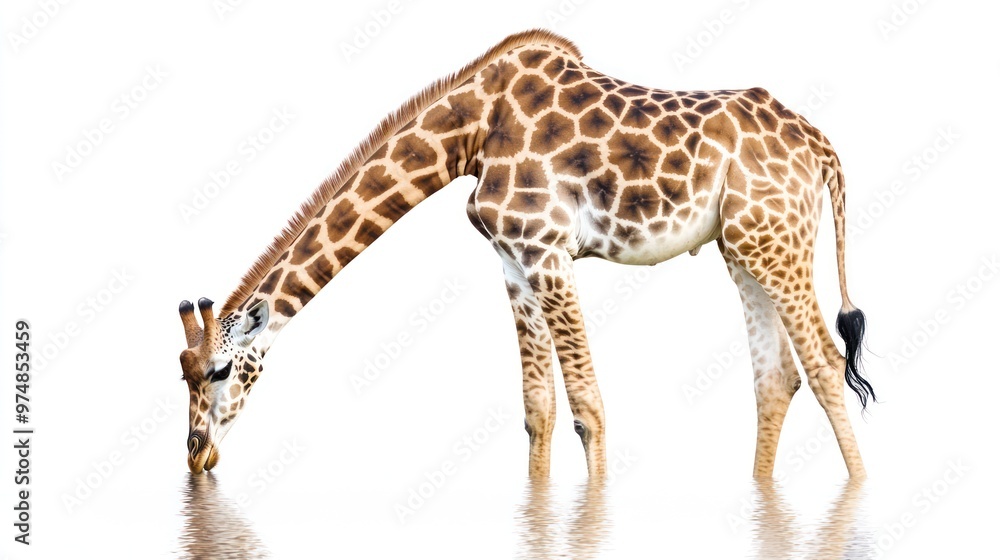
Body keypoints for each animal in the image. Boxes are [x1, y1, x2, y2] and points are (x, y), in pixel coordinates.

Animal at [177, 29, 874, 478]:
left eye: (219, 371)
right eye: (183, 374)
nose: (196, 453)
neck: (471, 131)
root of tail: (820, 144)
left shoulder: (548, 250)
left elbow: (588, 407)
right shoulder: (513, 260)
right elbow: (538, 409)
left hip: (776, 240)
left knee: (823, 361)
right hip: (744, 246)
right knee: (776, 376)